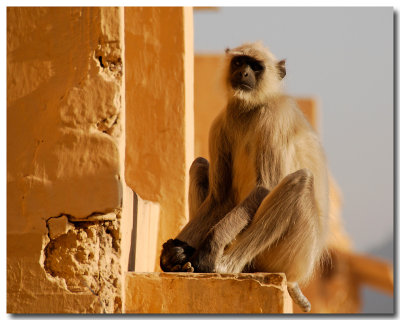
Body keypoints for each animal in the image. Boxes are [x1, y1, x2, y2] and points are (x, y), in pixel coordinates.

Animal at [159, 40, 328, 312]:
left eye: (256, 67)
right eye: (239, 62)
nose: (244, 73)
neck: (250, 108)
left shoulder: (273, 119)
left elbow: (265, 187)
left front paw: (209, 249)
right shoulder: (220, 123)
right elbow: (221, 199)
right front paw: (171, 255)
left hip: (291, 254)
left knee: (299, 181)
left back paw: (224, 265)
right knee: (199, 165)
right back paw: (181, 256)